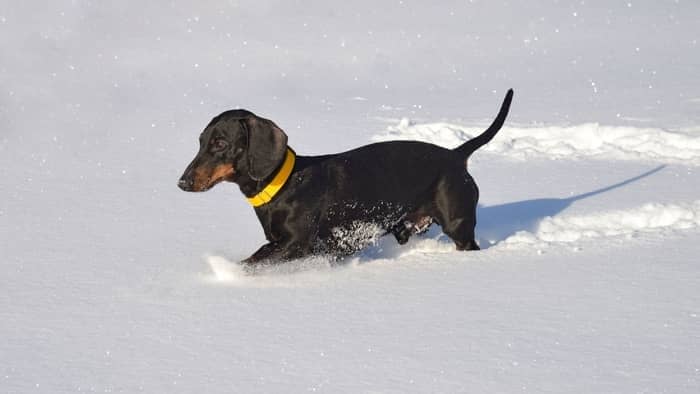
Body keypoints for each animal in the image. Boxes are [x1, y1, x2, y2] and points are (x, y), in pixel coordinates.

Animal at [178, 87, 512, 264]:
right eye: (200, 141)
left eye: (220, 143)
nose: (182, 182)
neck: (284, 186)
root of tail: (456, 155)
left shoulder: (294, 245)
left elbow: (255, 261)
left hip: (459, 227)